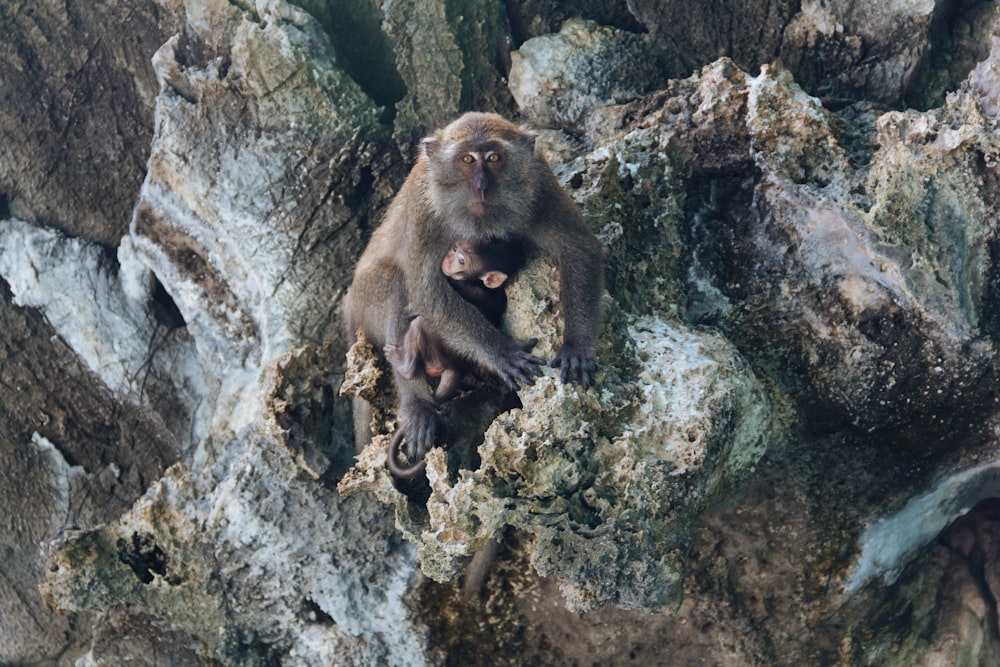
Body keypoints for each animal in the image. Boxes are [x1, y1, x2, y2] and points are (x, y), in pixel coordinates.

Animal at [346, 111, 600, 464]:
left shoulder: (539, 179)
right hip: (363, 300)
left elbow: (578, 248)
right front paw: (500, 352)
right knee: (395, 282)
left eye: (494, 158)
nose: (481, 186)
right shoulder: (424, 207)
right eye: (467, 159)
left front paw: (576, 345)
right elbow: (424, 289)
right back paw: (415, 401)